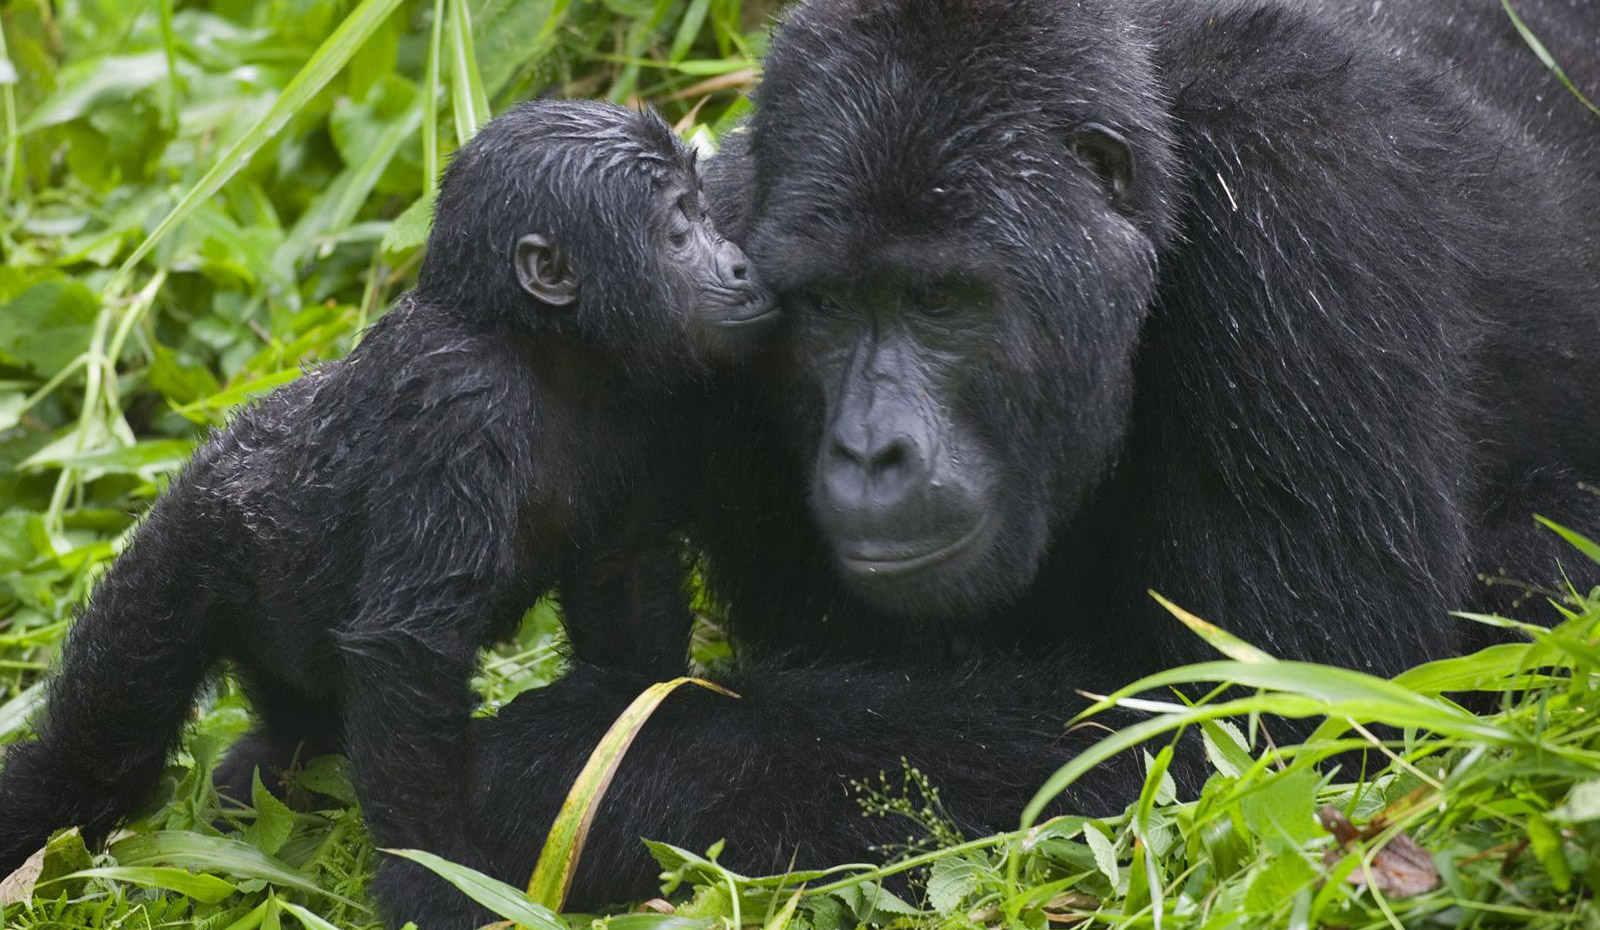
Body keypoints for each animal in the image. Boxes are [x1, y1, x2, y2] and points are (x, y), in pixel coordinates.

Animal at [0, 98, 774, 915]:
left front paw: (645, 738)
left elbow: (627, 589)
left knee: (292, 742)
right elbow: (411, 649)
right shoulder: (459, 408)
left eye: (701, 212)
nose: (738, 263)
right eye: (678, 228)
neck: (539, 345)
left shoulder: (645, 406)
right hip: (181, 553)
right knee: (98, 748)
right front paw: (432, 880)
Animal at [416, 0, 1600, 915]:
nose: (870, 450)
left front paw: (584, 763)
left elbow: (1283, 724)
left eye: (941, 300)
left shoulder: (1305, 195)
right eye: (825, 307)